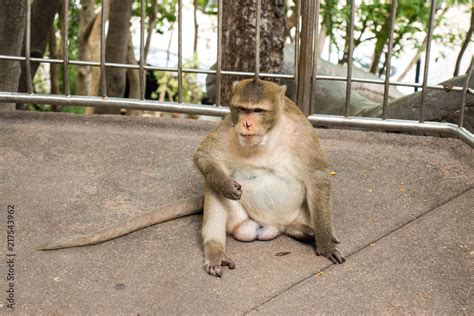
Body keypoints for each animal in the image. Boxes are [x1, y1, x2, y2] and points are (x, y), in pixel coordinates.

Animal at [39, 78, 344, 276]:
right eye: (241, 109)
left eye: (258, 110)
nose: (246, 124)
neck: (265, 139)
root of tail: (275, 226)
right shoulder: (227, 127)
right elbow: (205, 157)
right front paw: (225, 183)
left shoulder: (301, 131)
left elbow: (317, 176)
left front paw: (324, 243)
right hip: (240, 222)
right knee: (212, 186)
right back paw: (215, 249)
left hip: (297, 212)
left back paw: (305, 231)